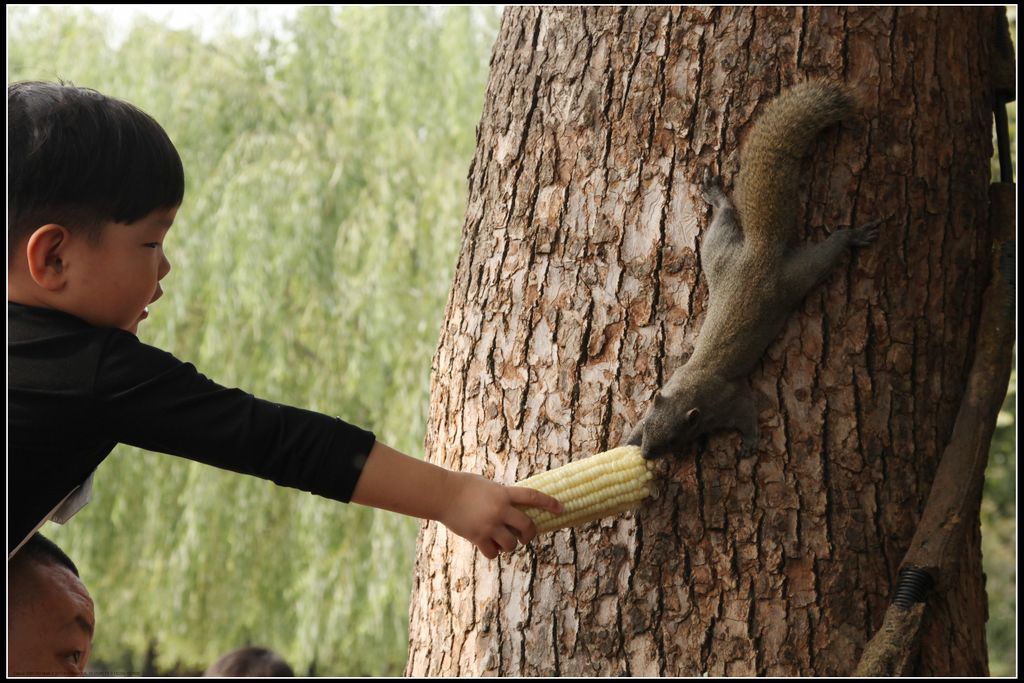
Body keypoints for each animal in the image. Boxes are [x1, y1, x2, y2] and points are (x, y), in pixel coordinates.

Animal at [626, 82, 884, 462]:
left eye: (673, 438)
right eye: (650, 423)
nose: (646, 455)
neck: (691, 389)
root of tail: (760, 250)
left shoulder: (731, 400)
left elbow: (748, 415)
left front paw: (749, 443)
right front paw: (627, 439)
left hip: (795, 275)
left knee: (826, 248)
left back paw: (852, 236)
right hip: (721, 254)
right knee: (725, 216)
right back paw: (717, 195)